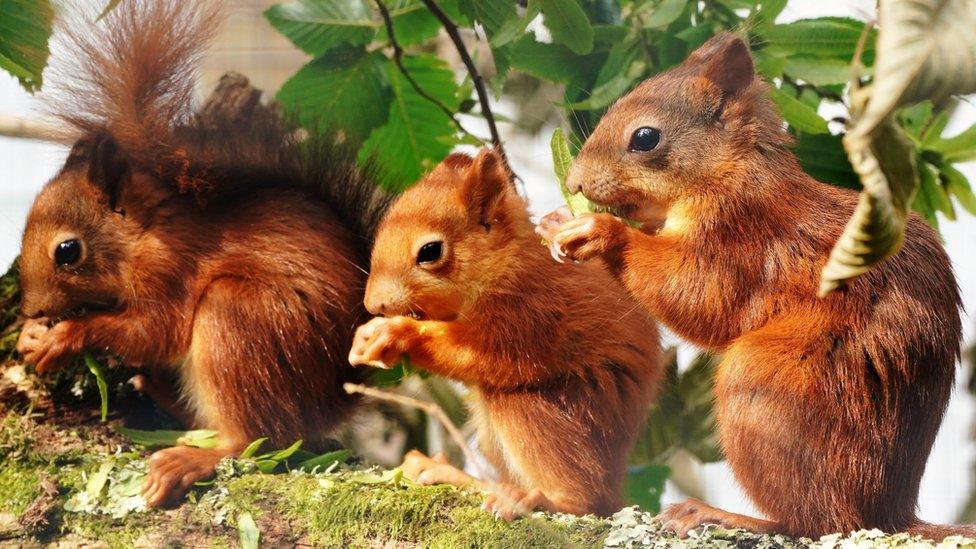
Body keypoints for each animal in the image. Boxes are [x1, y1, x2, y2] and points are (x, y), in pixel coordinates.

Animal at [14, 0, 388, 506]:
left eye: (68, 250)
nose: (31, 307)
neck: (144, 234)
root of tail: (332, 401)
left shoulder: (171, 269)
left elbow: (156, 333)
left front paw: (64, 336)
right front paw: (31, 335)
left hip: (238, 319)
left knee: (254, 438)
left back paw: (189, 460)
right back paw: (157, 392)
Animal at [346, 150, 660, 520]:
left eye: (430, 251)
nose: (373, 303)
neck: (505, 260)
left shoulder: (531, 312)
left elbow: (486, 354)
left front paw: (398, 333)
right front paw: (366, 337)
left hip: (552, 411)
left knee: (585, 498)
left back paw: (542, 498)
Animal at [540, 32, 968, 536]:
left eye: (645, 137)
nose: (574, 182)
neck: (730, 173)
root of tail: (889, 513)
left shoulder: (740, 239)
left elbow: (697, 296)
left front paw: (601, 232)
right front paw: (554, 221)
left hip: (767, 389)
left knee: (816, 520)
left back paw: (722, 513)